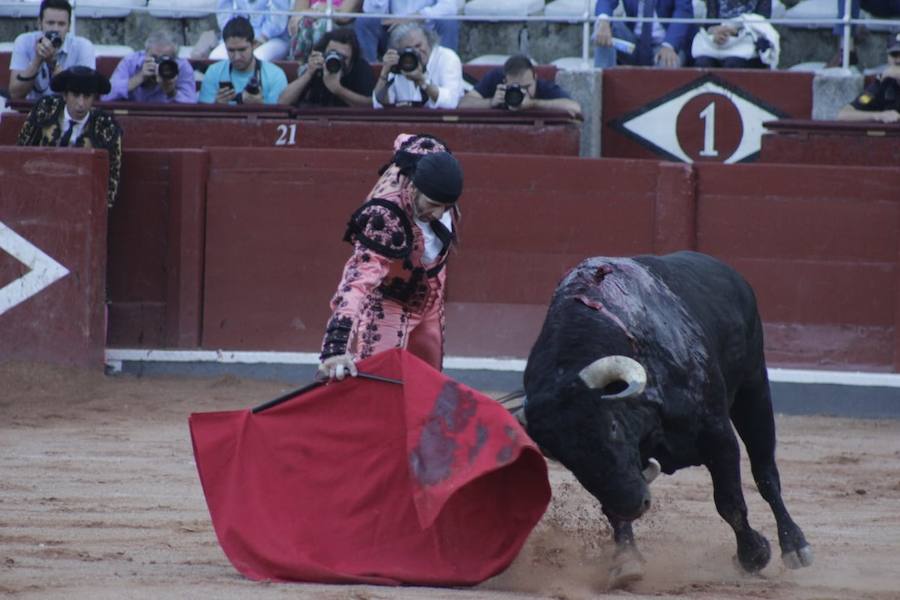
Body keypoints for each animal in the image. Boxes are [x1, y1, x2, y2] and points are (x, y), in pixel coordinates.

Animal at [524, 252, 812, 580]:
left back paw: (794, 546)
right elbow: (612, 507)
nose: (634, 504)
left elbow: (729, 502)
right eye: (567, 460)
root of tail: (726, 270)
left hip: (754, 387)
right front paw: (627, 561)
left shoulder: (718, 435)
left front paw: (754, 554)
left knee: (765, 473)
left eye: (612, 426)